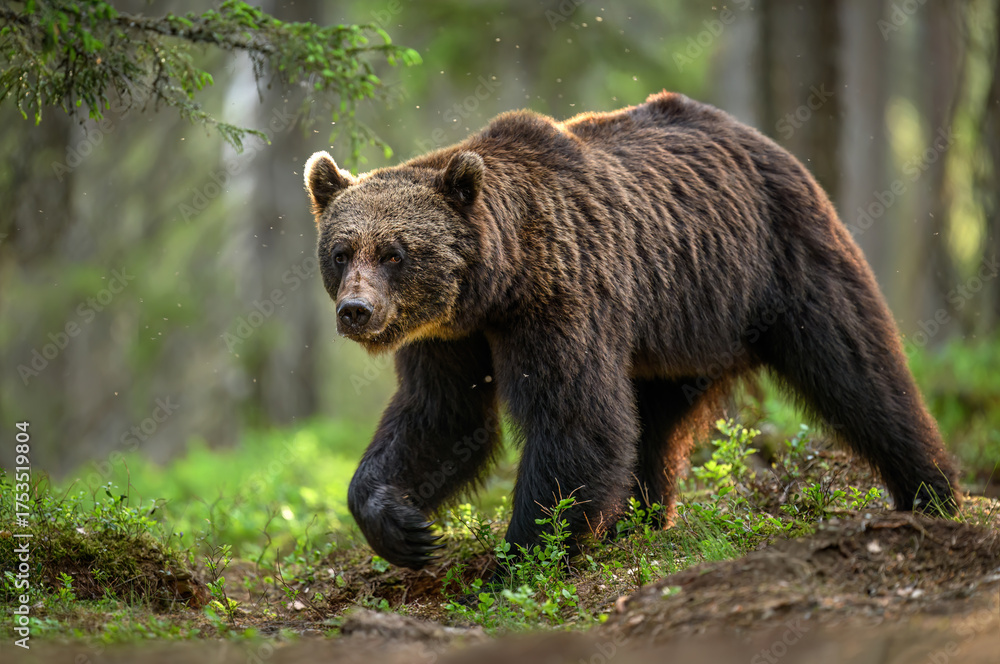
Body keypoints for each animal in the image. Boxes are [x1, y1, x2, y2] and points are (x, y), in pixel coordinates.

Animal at [303, 90, 960, 570]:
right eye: (341, 251)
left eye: (395, 253)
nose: (356, 310)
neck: (495, 287)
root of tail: (759, 138)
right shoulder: (447, 338)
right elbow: (442, 416)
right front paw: (402, 525)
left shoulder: (561, 299)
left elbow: (576, 421)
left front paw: (518, 557)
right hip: (680, 329)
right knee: (658, 424)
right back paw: (638, 518)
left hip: (783, 260)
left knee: (859, 370)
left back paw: (933, 492)